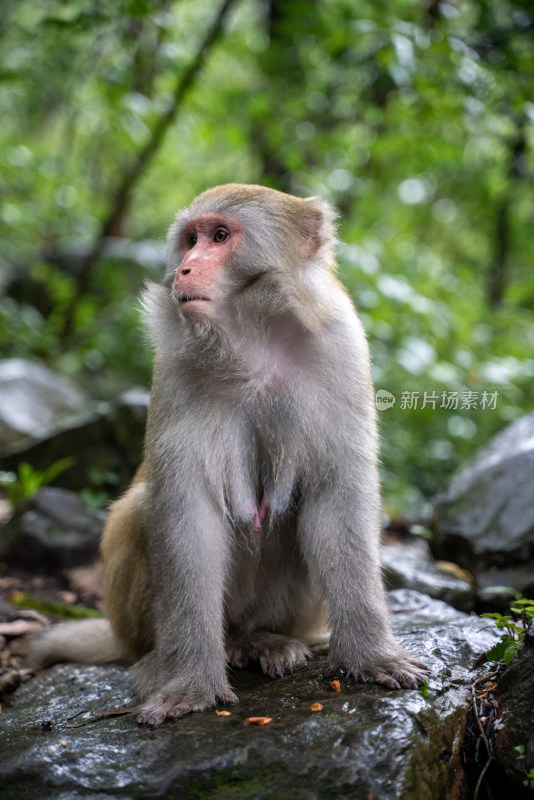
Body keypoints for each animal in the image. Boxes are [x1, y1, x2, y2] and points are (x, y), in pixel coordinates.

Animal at [28, 186, 432, 724]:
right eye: (190, 239)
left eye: (220, 236)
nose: (184, 269)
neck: (251, 339)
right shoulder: (173, 366)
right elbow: (187, 517)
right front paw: (189, 683)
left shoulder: (342, 347)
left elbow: (337, 499)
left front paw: (371, 655)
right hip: (130, 621)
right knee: (140, 510)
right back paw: (169, 659)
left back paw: (264, 639)